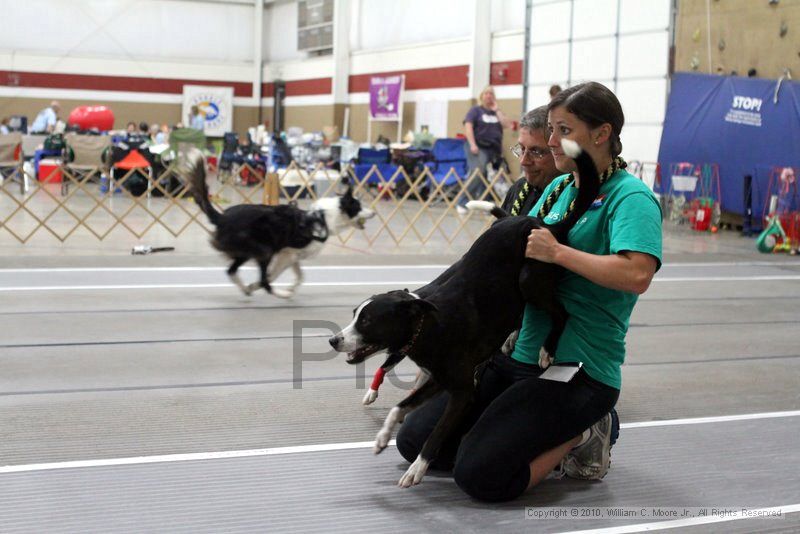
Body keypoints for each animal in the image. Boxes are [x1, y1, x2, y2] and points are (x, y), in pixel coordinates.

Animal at [184, 151, 376, 300]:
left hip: (245, 251)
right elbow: (272, 276)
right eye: (359, 207)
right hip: (263, 249)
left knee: (231, 271)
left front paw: (289, 288)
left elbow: (300, 277)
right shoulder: (286, 254)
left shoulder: (294, 255)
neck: (325, 217)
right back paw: (278, 293)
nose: (374, 213)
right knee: (260, 279)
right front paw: (268, 287)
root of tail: (222, 217)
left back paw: (246, 289)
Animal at [328, 139, 596, 490]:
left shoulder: (462, 391)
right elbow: (401, 406)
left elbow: (438, 431)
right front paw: (383, 437)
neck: (428, 326)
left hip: (531, 279)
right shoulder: (438, 379)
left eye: (368, 321)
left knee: (561, 313)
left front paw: (418, 468)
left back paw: (547, 351)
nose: (334, 340)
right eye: (354, 314)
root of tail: (546, 225)